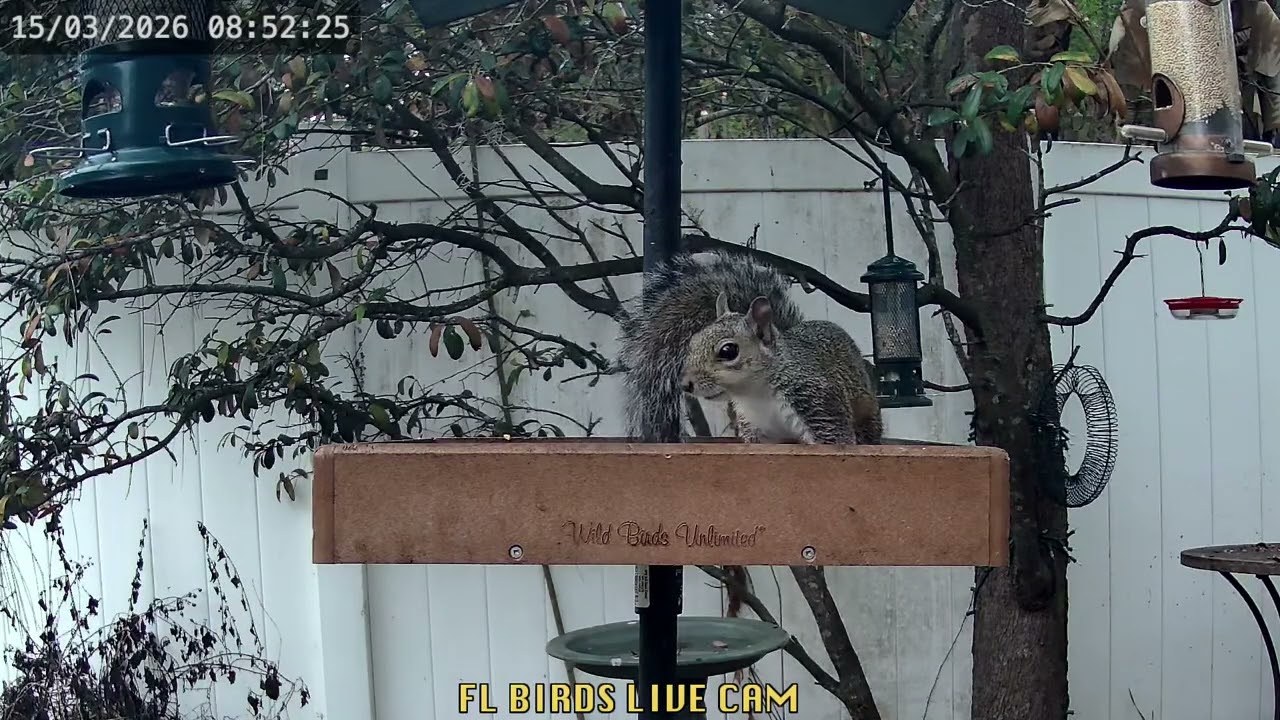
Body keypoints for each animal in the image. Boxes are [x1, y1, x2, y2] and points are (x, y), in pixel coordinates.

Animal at [617, 250, 882, 445]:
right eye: (692, 342)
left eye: (728, 351)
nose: (685, 384)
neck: (756, 393)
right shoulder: (756, 430)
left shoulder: (818, 403)